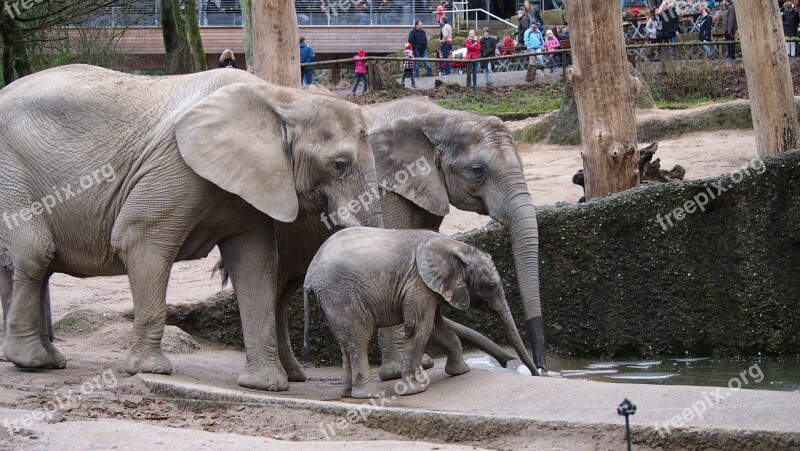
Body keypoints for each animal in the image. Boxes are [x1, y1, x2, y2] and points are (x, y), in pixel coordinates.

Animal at [0, 64, 382, 392]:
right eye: (340, 164)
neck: (282, 98)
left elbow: (256, 263)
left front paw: (265, 385)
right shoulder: (176, 164)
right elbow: (137, 237)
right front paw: (151, 370)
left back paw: (41, 359)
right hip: (11, 175)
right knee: (36, 254)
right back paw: (33, 361)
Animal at [304, 230, 536, 400]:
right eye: (490, 287)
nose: (538, 373)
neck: (453, 245)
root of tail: (310, 275)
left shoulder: (430, 288)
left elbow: (437, 328)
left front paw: (460, 372)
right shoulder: (418, 283)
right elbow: (419, 328)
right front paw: (414, 390)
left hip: (332, 301)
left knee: (346, 344)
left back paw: (347, 394)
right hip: (342, 296)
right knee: (359, 339)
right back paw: (369, 394)